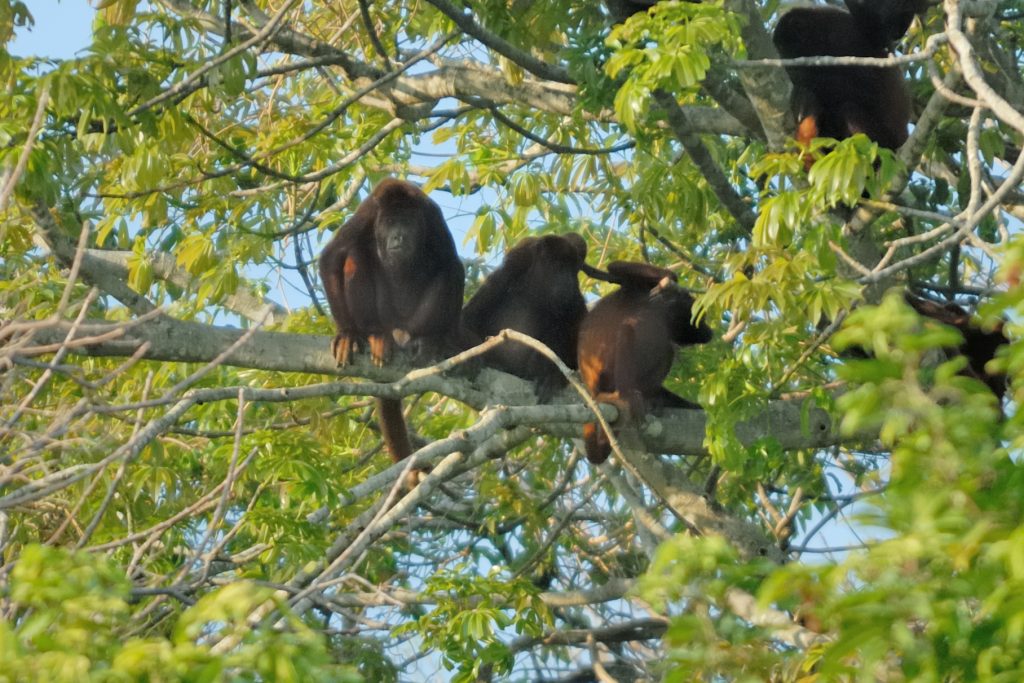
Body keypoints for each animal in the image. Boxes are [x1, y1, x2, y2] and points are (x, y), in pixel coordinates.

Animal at [318, 178, 465, 465]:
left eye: (406, 223)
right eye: (388, 223)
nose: (398, 236)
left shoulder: (432, 216)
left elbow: (451, 262)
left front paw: (447, 341)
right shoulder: (367, 214)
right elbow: (332, 256)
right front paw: (347, 333)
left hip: (413, 319)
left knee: (450, 268)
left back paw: (426, 340)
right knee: (355, 254)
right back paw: (375, 335)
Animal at [462, 233, 614, 400]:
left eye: (572, 270)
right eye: (559, 267)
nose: (568, 280)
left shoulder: (573, 296)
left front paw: (553, 377)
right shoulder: (509, 272)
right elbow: (470, 317)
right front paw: (470, 357)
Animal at [578, 261, 713, 464]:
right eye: (700, 319)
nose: (710, 331)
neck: (663, 314)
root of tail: (592, 389)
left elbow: (616, 268)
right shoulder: (647, 303)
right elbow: (616, 268)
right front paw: (669, 278)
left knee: (665, 349)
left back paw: (655, 399)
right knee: (635, 335)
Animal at [772, 0, 930, 155]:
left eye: (788, 49)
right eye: (781, 52)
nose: (789, 67)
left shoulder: (842, 35)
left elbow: (867, 88)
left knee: (849, 109)